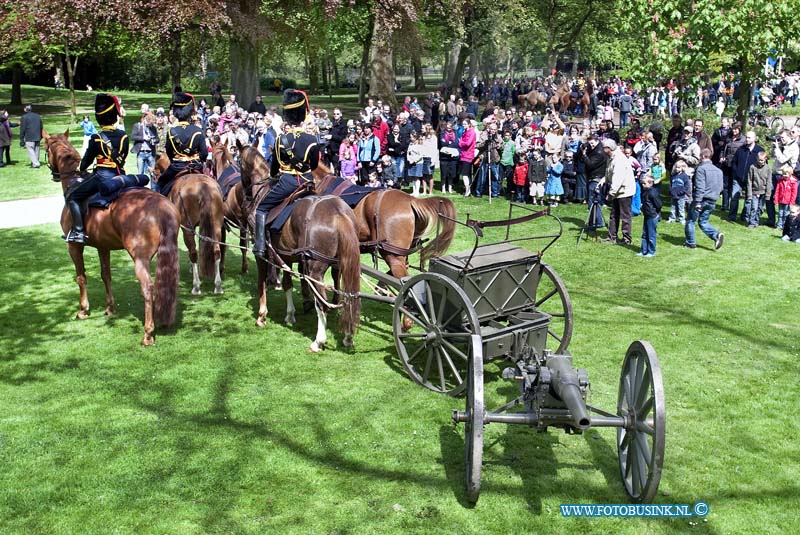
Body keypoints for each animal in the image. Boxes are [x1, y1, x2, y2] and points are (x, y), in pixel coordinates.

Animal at [43, 130, 180, 348]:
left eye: (46, 149)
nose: (55, 174)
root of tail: (160, 205)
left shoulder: (73, 246)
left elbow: (81, 277)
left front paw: (83, 310)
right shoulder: (103, 247)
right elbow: (106, 274)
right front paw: (110, 307)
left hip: (139, 259)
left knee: (148, 288)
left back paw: (148, 333)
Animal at [153, 153, 225, 296]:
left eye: (155, 170)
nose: (154, 177)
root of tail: (203, 187)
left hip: (187, 228)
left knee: (193, 252)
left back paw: (196, 286)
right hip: (216, 226)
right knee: (216, 251)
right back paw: (218, 285)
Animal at [238, 143, 362, 352]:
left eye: (238, 162)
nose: (245, 193)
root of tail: (339, 213)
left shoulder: (264, 255)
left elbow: (261, 282)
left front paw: (262, 315)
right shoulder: (287, 256)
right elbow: (288, 283)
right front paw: (290, 314)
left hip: (316, 270)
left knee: (323, 303)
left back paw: (318, 341)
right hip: (343, 265)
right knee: (348, 297)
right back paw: (347, 337)